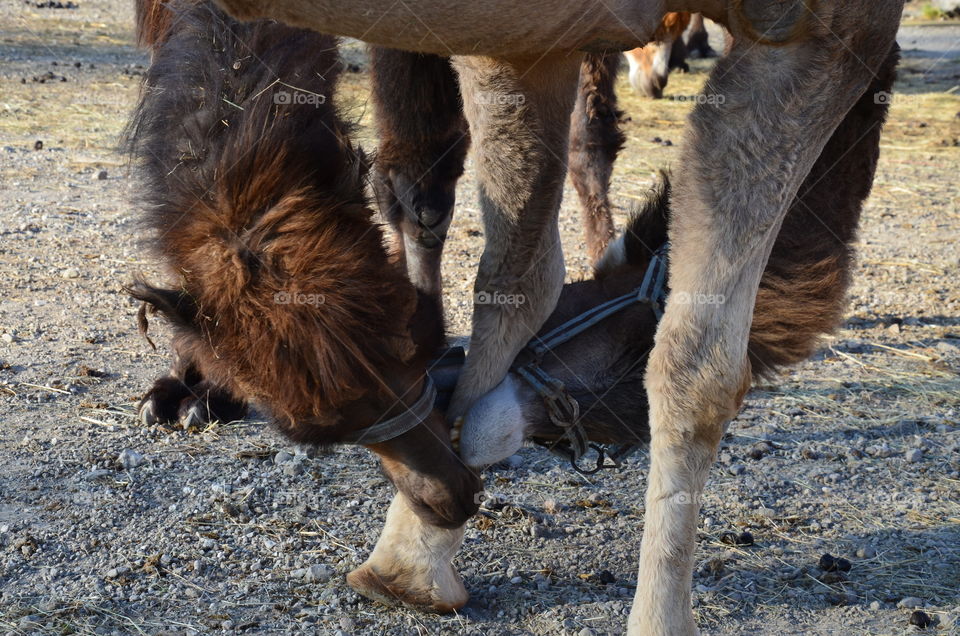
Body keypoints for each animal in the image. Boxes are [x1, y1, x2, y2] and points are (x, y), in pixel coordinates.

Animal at [174, 0, 906, 632]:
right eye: (632, 347)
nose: (438, 385)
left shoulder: (529, 46)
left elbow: (513, 278)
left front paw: (410, 555)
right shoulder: (819, 24)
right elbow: (694, 366)